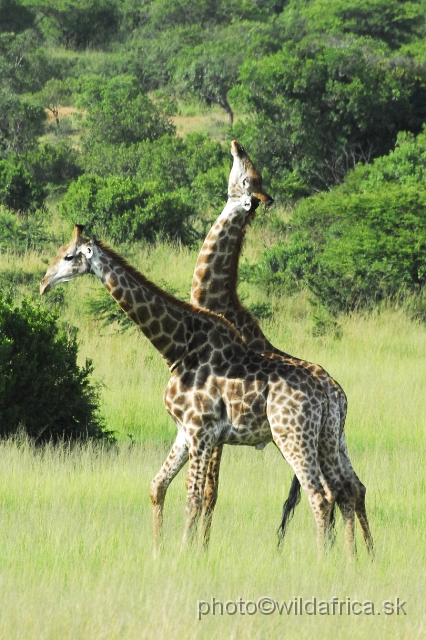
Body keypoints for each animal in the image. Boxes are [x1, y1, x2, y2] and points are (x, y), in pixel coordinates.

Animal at [40, 225, 372, 560]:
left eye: (69, 256)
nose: (43, 284)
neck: (178, 349)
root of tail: (333, 392)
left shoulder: (201, 431)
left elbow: (194, 499)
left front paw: (184, 554)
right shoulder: (184, 432)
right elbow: (157, 487)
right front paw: (157, 552)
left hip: (292, 436)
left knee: (320, 495)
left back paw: (323, 559)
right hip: (330, 438)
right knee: (351, 488)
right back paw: (357, 558)